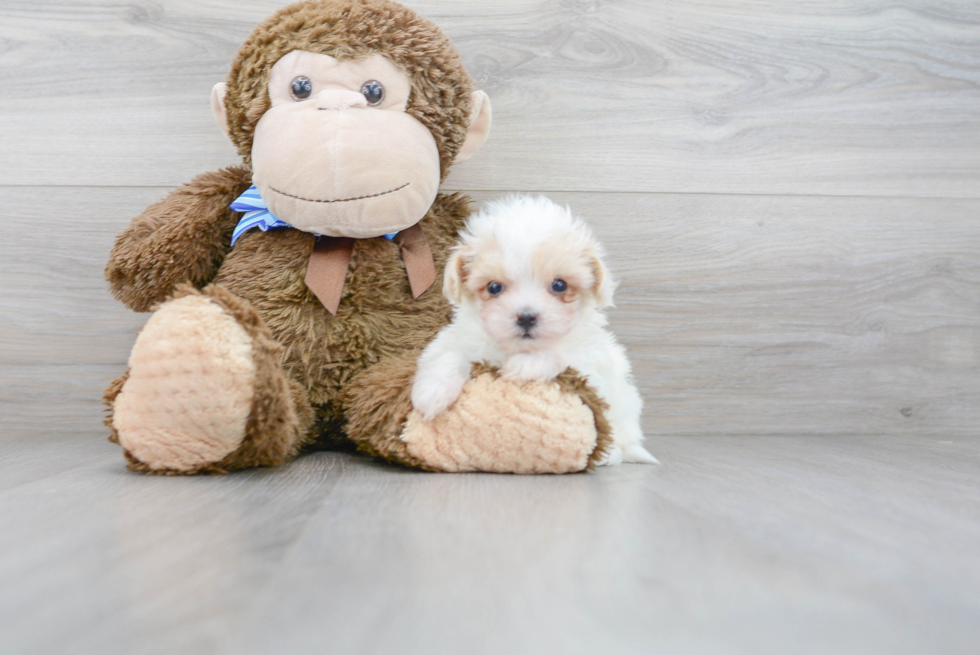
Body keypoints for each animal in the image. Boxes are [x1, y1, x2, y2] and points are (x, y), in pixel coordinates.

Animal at [410, 195, 656, 466]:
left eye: (559, 285)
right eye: (494, 287)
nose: (526, 317)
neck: (516, 348)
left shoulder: (592, 369)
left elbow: (562, 358)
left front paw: (525, 365)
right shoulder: (455, 340)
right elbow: (448, 356)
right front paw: (431, 393)